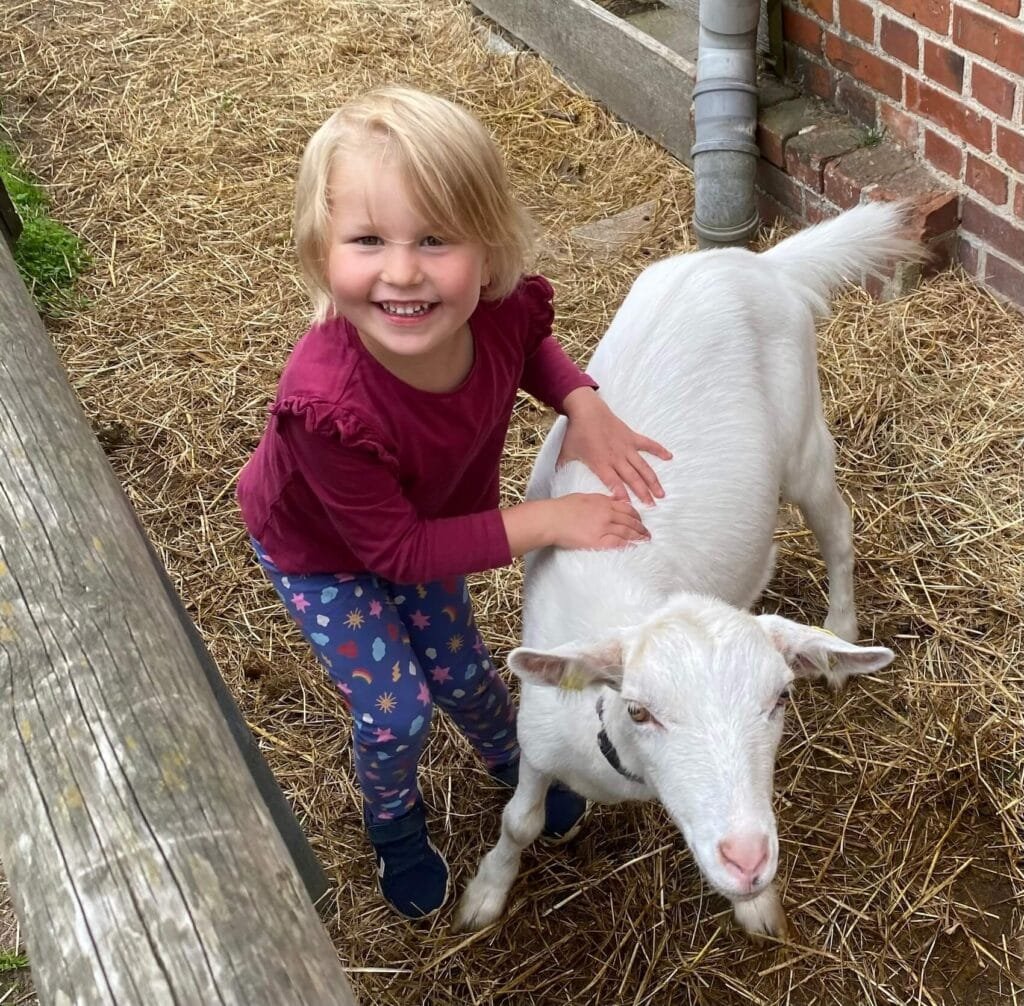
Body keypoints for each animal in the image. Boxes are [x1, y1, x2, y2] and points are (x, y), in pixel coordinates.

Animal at [455, 201, 922, 939]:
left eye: (780, 698)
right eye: (641, 711)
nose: (747, 858)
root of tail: (757, 263)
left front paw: (758, 905)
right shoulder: (536, 739)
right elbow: (520, 820)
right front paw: (486, 892)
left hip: (804, 438)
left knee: (837, 527)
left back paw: (841, 626)